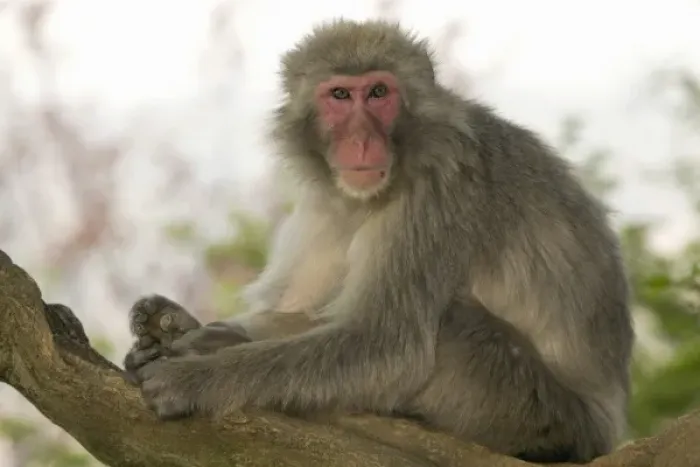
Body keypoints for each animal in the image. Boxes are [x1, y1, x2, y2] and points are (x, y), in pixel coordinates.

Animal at [123, 18, 634, 463]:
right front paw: (183, 327)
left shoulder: (438, 192)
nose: (362, 140)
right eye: (340, 95)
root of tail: (606, 432)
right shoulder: (327, 200)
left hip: (533, 406)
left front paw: (195, 378)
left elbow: (387, 348)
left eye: (378, 93)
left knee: (450, 324)